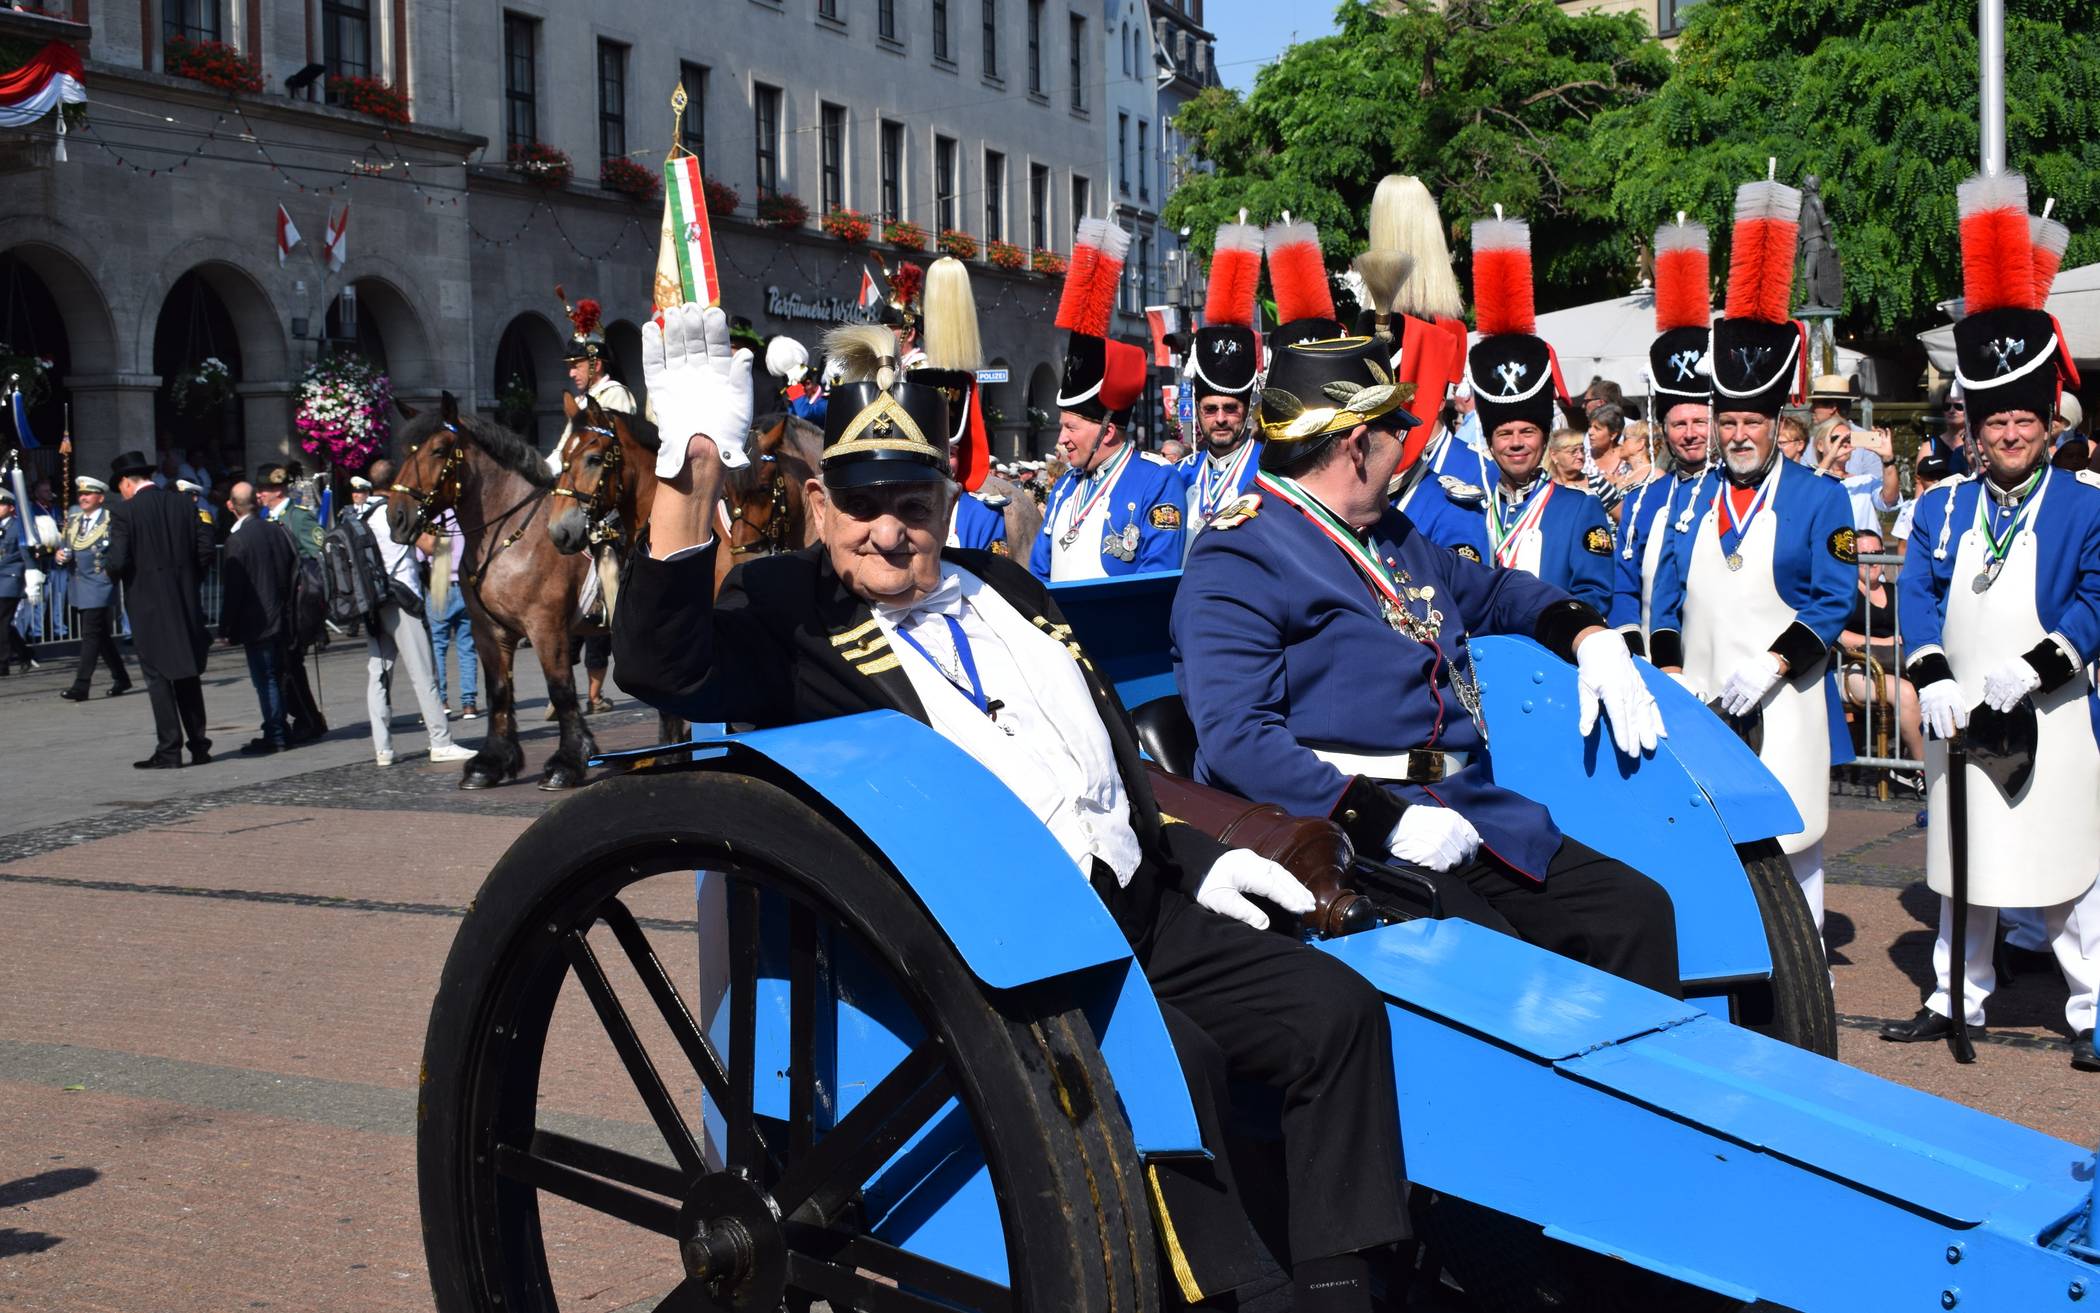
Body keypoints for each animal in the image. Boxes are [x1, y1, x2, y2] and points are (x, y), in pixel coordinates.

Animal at [387, 393, 599, 792]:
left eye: (439, 449)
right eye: (406, 450)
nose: (397, 517)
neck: (511, 535)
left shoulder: (546, 627)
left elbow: (561, 689)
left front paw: (568, 763)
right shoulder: (489, 629)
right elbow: (499, 690)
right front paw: (491, 763)